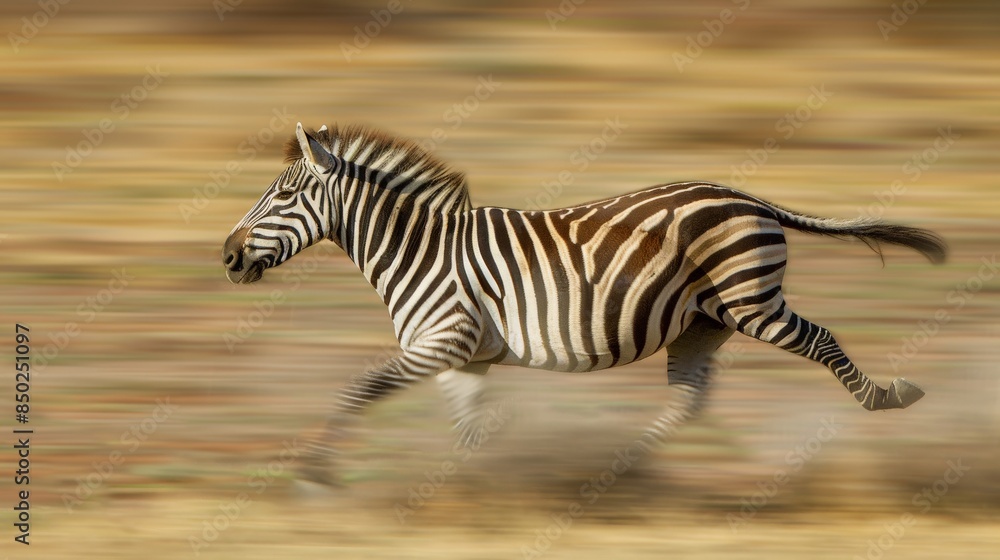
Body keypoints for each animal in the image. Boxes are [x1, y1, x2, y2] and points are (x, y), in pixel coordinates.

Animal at [223, 123, 946, 485]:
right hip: (702, 324)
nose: (227, 257)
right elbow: (470, 427)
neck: (419, 250)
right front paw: (475, 486)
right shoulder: (464, 357)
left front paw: (315, 473)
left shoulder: (443, 340)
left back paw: (889, 397)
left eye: (282, 196)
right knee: (688, 400)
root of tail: (747, 196)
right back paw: (617, 472)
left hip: (752, 303)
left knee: (821, 340)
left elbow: (358, 389)